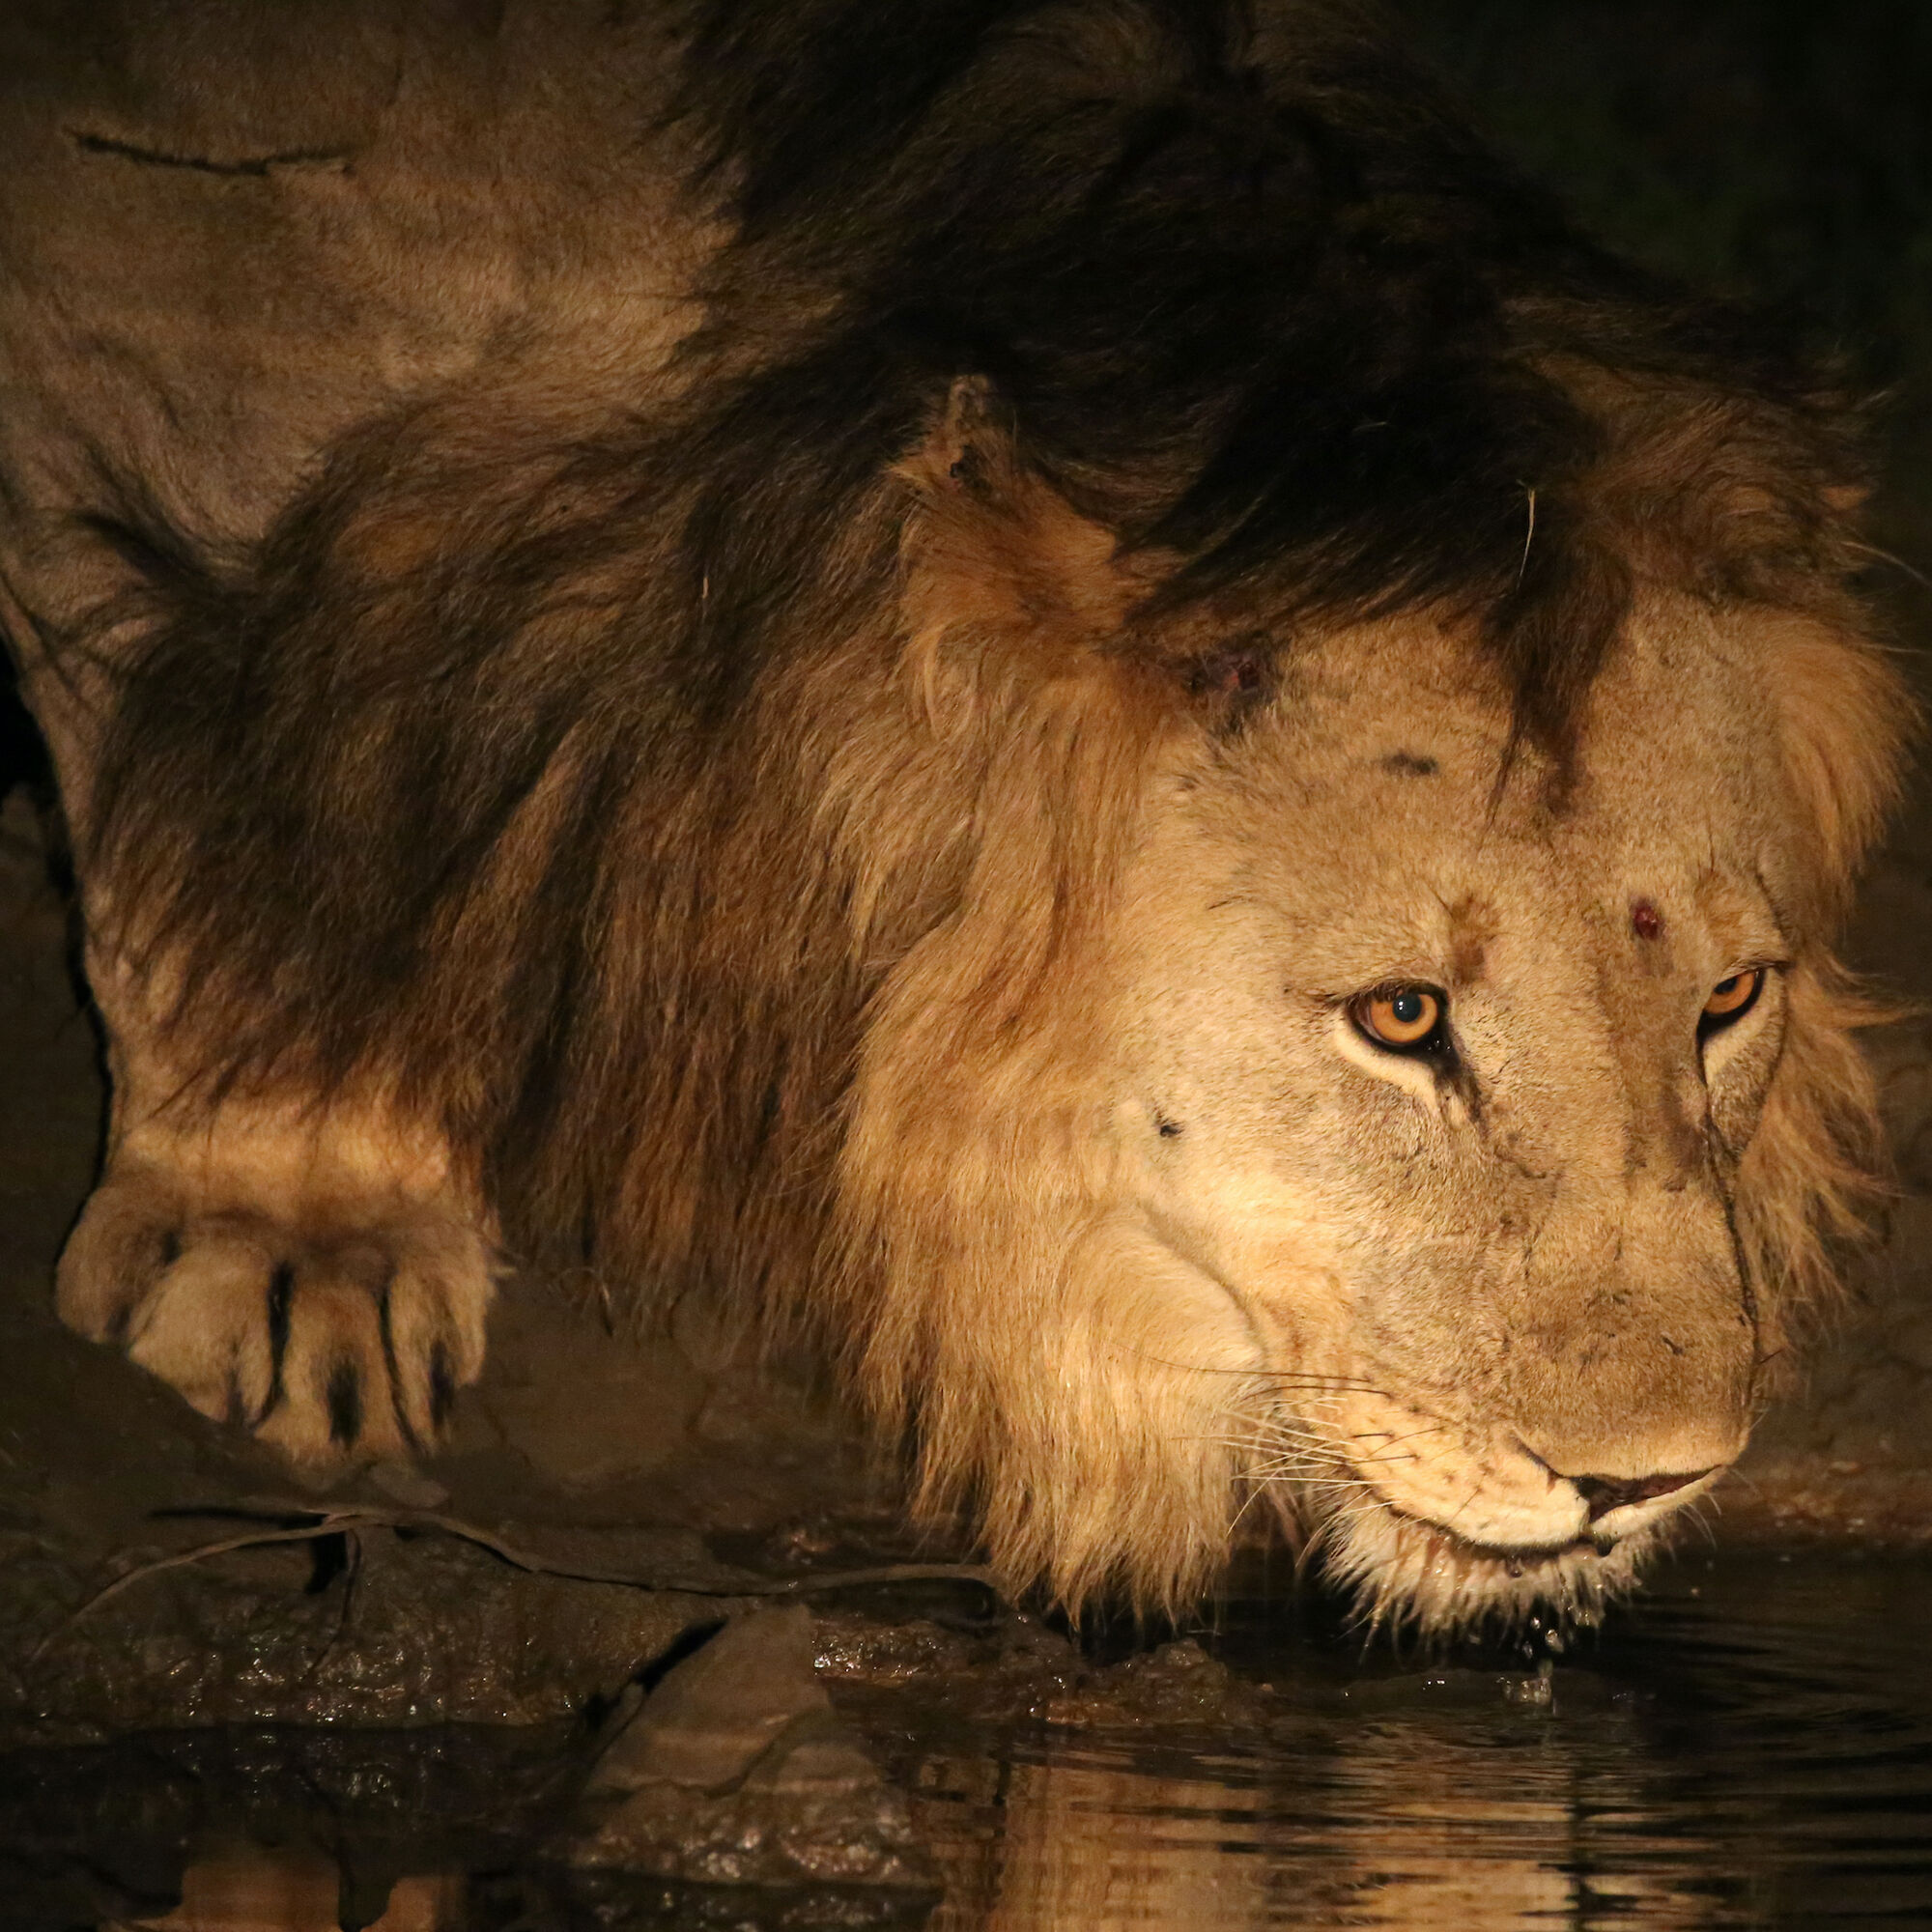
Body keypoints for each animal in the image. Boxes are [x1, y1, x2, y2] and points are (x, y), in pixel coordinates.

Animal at [0, 0, 1910, 1638]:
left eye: (1730, 999)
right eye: (1401, 1016)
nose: (1652, 1484)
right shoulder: (143, 383)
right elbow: (218, 814)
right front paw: (292, 1233)